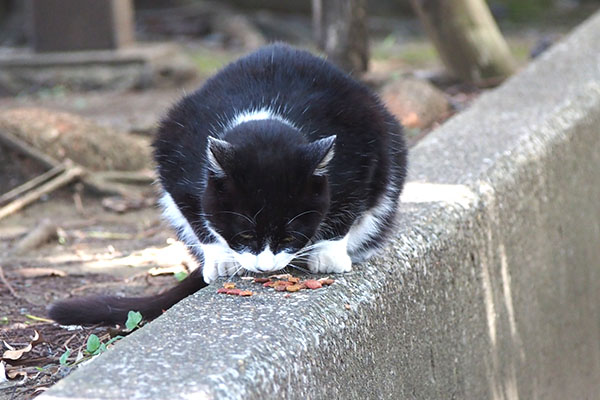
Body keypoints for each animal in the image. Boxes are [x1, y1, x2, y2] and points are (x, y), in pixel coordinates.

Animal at [48, 43, 408, 324]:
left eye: (290, 236)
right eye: (245, 234)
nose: (265, 266)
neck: (265, 112)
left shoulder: (364, 141)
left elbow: (351, 198)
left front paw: (329, 253)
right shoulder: (174, 149)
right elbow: (195, 210)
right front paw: (220, 257)